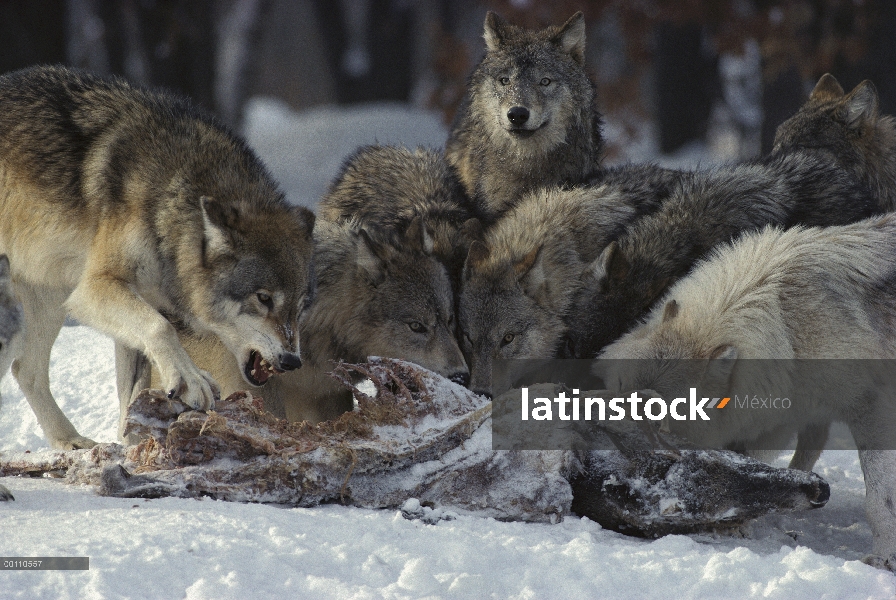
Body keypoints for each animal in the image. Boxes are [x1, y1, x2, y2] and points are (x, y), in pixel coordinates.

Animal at [0, 67, 316, 450]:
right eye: (264, 298)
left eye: (301, 306)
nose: (292, 361)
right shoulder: (96, 288)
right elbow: (160, 328)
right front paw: (191, 381)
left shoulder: (132, 309)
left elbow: (131, 392)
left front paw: (130, 444)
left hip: (49, 296)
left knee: (26, 370)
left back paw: (69, 440)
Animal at [600, 213, 896, 568]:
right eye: (619, 388)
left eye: (658, 419)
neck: (788, 325)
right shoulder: (786, 410)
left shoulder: (869, 409)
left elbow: (878, 500)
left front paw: (883, 558)